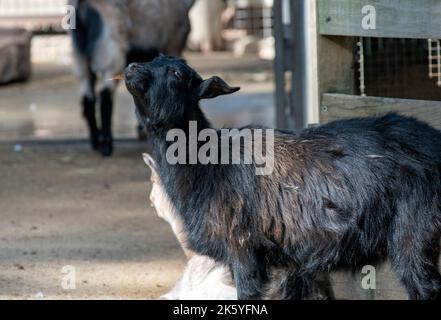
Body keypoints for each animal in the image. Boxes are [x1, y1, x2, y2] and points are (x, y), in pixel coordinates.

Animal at [124, 55, 440, 300]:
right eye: (155, 58)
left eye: (176, 73)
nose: (132, 68)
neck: (208, 163)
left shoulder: (243, 249)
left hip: (415, 236)